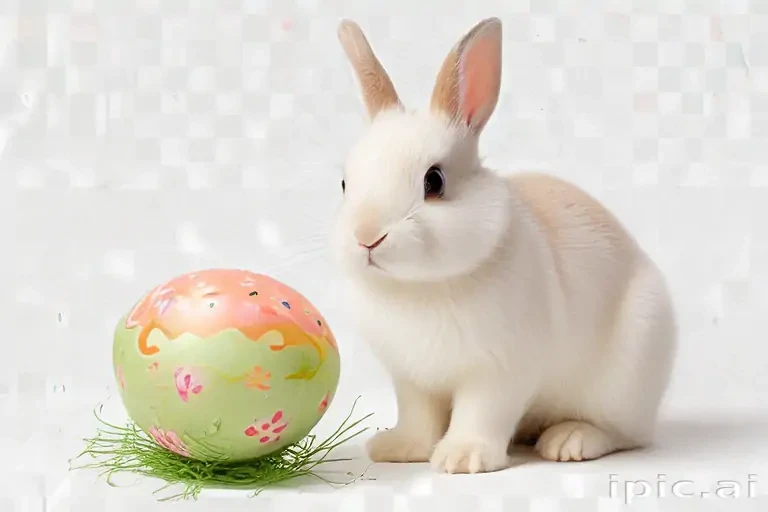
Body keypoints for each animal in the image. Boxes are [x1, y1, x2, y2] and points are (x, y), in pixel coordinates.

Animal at [331, 17, 677, 474]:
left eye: (434, 182)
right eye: (344, 183)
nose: (366, 236)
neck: (419, 288)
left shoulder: (499, 373)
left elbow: (481, 413)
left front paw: (463, 458)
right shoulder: (412, 380)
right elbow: (419, 417)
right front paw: (399, 449)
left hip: (625, 378)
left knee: (625, 433)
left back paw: (569, 441)